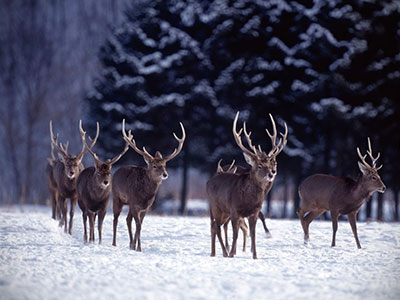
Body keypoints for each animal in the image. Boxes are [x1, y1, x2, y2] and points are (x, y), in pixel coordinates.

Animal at [111, 119, 185, 251]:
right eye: (154, 166)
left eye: (165, 165)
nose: (165, 174)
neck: (144, 195)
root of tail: (116, 171)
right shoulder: (135, 204)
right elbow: (139, 225)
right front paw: (139, 248)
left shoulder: (145, 207)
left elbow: (140, 225)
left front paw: (135, 246)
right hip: (116, 197)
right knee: (115, 219)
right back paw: (114, 243)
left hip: (128, 204)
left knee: (128, 220)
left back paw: (130, 244)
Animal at [206, 111, 288, 258]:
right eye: (260, 165)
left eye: (271, 164)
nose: (271, 174)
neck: (248, 200)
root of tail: (210, 180)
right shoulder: (234, 210)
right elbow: (235, 234)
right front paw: (232, 254)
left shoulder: (254, 212)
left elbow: (253, 234)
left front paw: (255, 256)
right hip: (216, 206)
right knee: (216, 226)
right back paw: (223, 252)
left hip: (224, 211)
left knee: (216, 226)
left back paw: (215, 252)